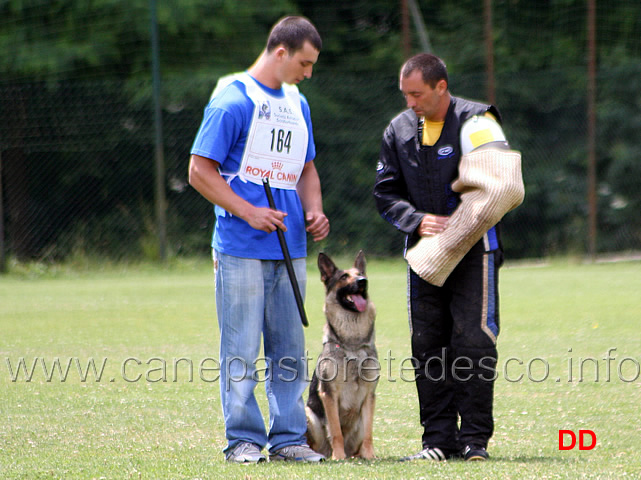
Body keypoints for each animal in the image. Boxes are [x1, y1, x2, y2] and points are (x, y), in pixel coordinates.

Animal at [304, 249, 378, 460]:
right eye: (344, 277)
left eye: (360, 274)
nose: (363, 281)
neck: (352, 344)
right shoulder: (329, 394)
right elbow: (336, 430)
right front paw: (338, 456)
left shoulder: (369, 395)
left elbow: (369, 433)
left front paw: (370, 455)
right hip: (308, 413)